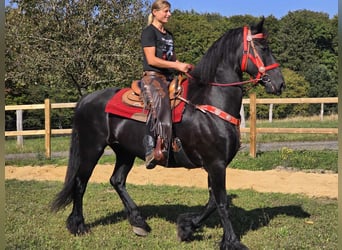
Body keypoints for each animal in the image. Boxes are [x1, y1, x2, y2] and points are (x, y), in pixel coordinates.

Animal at [51, 18, 284, 249]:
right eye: (263, 47)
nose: (280, 83)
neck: (208, 103)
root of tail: (86, 100)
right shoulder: (216, 163)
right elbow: (221, 203)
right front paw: (232, 241)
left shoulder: (215, 165)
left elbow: (211, 202)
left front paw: (186, 227)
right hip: (91, 148)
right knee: (80, 183)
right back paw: (79, 225)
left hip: (124, 152)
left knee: (116, 181)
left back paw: (139, 223)